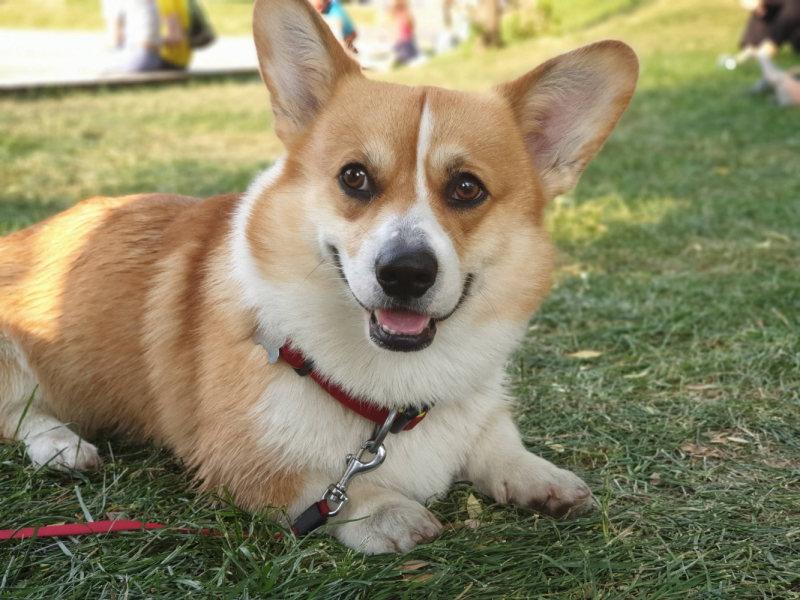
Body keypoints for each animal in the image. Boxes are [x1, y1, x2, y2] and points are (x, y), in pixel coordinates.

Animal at [0, 0, 636, 556]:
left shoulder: (477, 407)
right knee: (18, 414)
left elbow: (496, 438)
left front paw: (537, 476)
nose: (405, 272)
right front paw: (387, 511)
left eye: (466, 188)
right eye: (354, 177)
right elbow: (328, 490)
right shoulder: (235, 461)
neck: (389, 398)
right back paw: (61, 445)